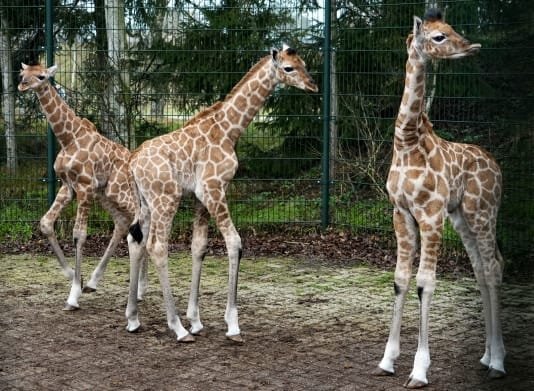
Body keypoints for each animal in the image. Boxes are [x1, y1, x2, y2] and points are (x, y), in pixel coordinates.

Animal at [18, 63, 149, 310]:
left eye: (41, 76)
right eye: (22, 74)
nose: (22, 85)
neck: (68, 138)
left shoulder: (85, 186)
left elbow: (79, 234)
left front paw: (73, 295)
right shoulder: (67, 187)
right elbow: (46, 223)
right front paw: (73, 276)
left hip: (117, 192)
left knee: (139, 224)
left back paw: (139, 289)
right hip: (106, 194)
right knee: (123, 223)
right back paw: (100, 283)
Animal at [125, 45, 318, 344]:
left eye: (304, 64)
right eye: (289, 68)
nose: (313, 86)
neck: (229, 130)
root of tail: (133, 162)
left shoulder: (201, 196)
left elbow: (199, 247)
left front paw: (196, 320)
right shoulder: (214, 189)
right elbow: (234, 243)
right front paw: (232, 324)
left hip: (145, 203)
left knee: (136, 239)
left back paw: (134, 319)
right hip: (166, 199)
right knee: (156, 246)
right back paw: (177, 328)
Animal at [376, 9, 506, 388]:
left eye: (450, 30)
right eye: (438, 36)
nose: (472, 46)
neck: (406, 143)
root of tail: (497, 166)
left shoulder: (431, 215)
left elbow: (425, 283)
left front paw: (419, 370)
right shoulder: (401, 213)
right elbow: (400, 279)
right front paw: (387, 360)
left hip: (484, 212)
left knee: (494, 267)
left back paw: (498, 362)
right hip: (463, 217)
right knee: (481, 269)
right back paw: (487, 356)